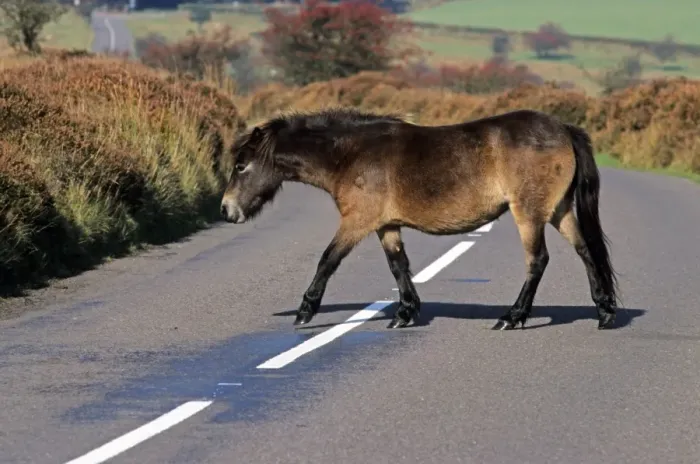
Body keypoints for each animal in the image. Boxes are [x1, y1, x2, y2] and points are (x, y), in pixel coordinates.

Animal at [220, 107, 619, 331]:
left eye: (241, 166)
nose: (226, 209)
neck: (350, 153)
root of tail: (564, 129)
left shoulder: (356, 221)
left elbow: (327, 261)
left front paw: (305, 312)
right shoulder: (385, 225)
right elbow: (399, 266)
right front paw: (406, 312)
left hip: (530, 214)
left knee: (538, 261)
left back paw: (513, 317)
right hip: (559, 211)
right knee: (586, 252)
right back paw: (604, 312)